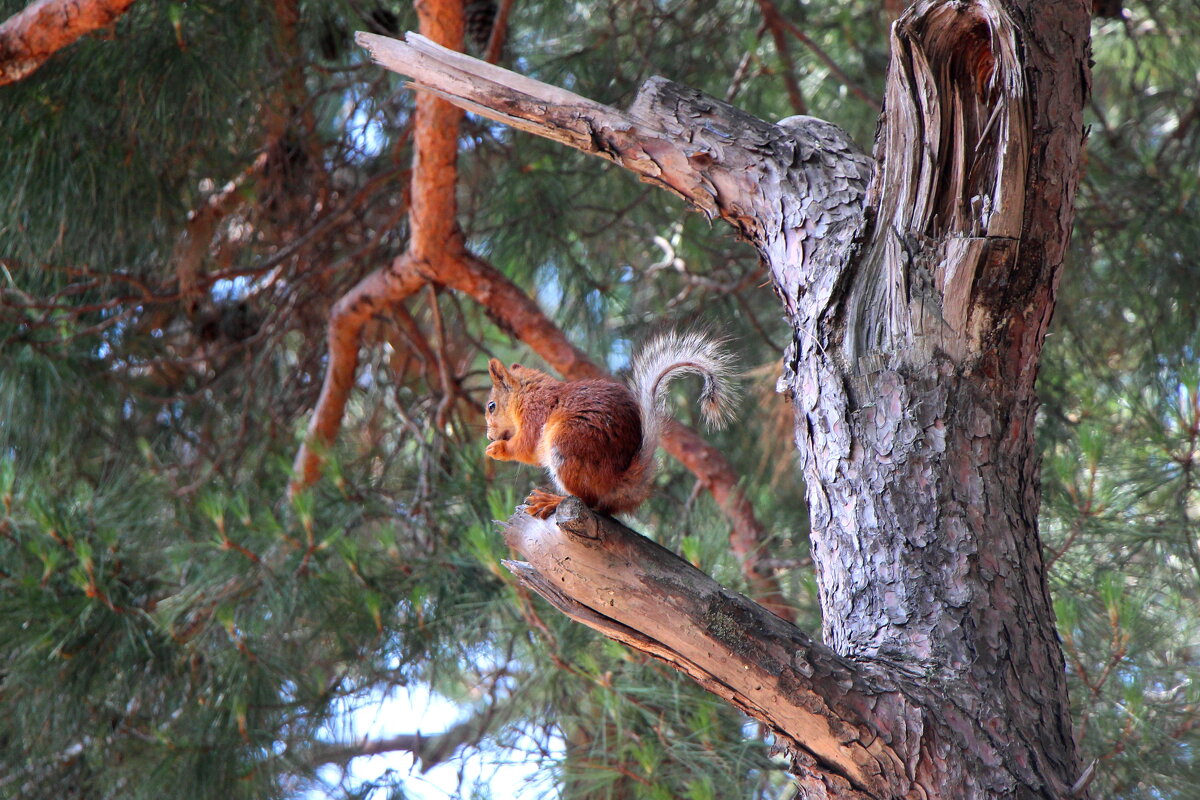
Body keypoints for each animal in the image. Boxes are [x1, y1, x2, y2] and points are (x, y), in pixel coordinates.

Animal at [484, 331, 734, 520]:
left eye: (491, 406)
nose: (489, 437)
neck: (528, 394)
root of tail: (619, 482)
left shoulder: (534, 416)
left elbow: (525, 447)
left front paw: (498, 450)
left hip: (566, 444)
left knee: (588, 500)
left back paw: (553, 500)